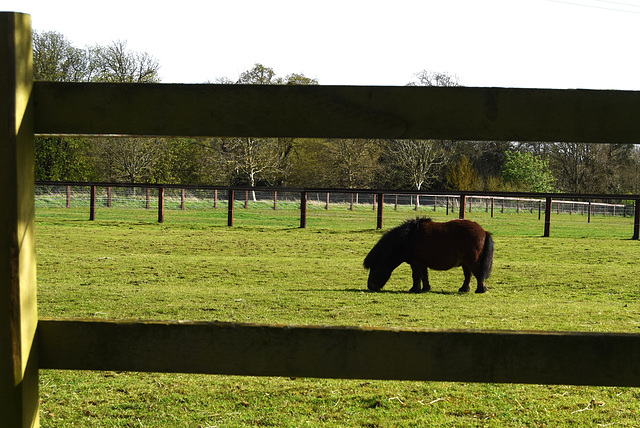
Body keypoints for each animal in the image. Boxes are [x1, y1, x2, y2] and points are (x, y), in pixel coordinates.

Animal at [362, 219, 492, 292]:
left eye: (374, 268)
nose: (370, 286)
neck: (407, 239)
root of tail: (484, 231)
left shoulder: (416, 263)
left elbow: (416, 276)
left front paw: (414, 289)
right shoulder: (422, 263)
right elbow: (424, 276)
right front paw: (425, 288)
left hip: (472, 261)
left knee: (478, 274)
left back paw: (481, 289)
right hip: (466, 263)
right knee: (468, 275)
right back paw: (464, 289)